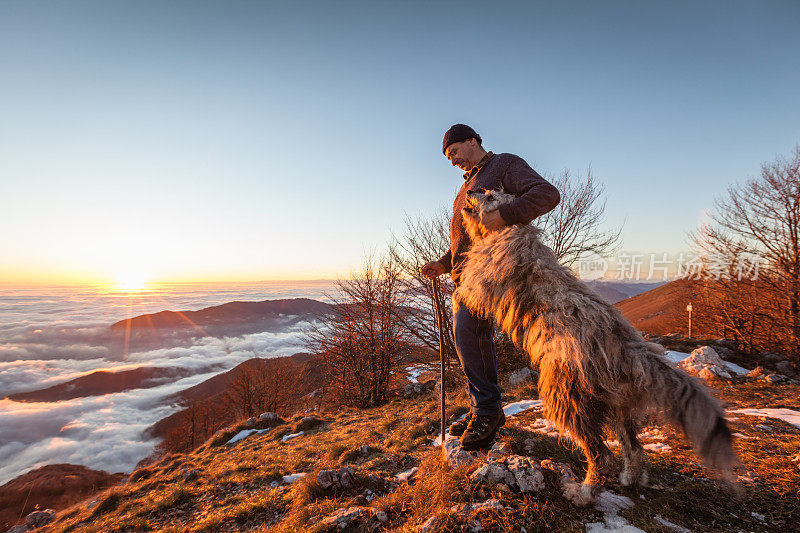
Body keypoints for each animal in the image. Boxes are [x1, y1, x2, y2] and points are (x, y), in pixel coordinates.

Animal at [454, 187, 740, 502]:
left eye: (492, 196)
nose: (471, 190)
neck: (509, 231)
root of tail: (630, 350)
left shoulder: (482, 281)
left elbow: (469, 288)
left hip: (566, 396)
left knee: (601, 455)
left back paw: (584, 492)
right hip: (619, 405)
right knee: (634, 449)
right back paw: (630, 478)